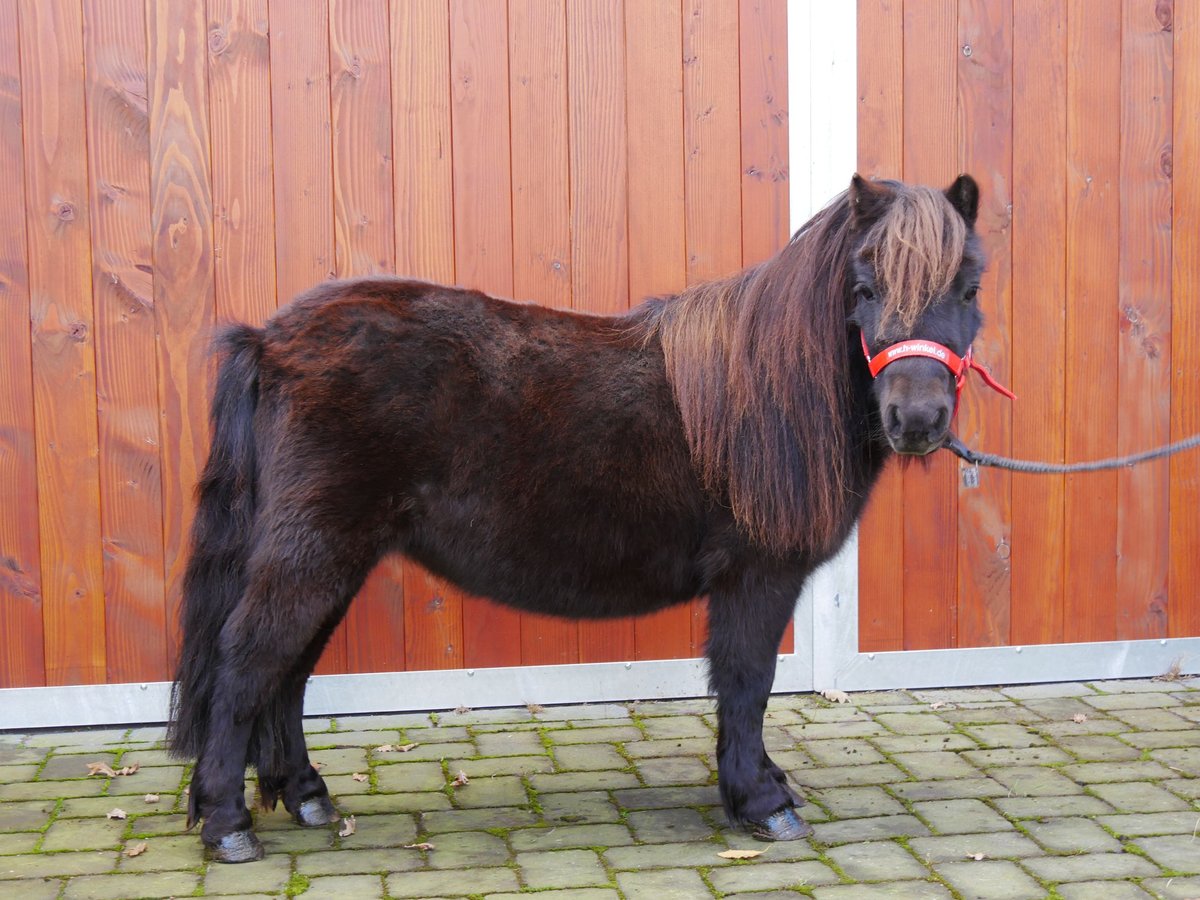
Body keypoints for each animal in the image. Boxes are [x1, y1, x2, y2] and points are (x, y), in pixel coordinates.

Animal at [174, 174, 988, 859]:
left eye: (969, 284)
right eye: (865, 284)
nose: (918, 419)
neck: (763, 390)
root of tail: (269, 341)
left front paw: (760, 785)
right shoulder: (758, 578)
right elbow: (748, 680)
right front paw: (762, 801)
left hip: (331, 561)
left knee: (288, 672)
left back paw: (306, 797)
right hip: (313, 553)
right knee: (248, 662)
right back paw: (227, 823)